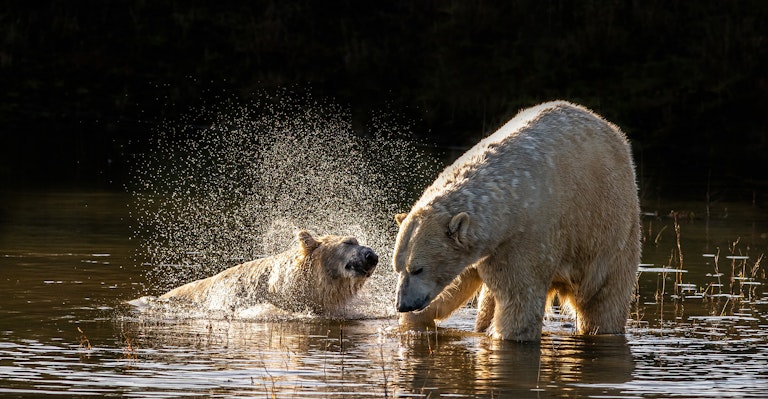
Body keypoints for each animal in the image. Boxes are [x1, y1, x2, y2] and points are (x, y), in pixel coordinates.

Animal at [392, 101, 640, 342]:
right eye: (398, 268)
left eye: (418, 269)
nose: (403, 305)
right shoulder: (484, 247)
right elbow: (456, 284)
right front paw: (415, 323)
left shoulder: (528, 236)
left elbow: (519, 299)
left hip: (608, 231)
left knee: (604, 301)